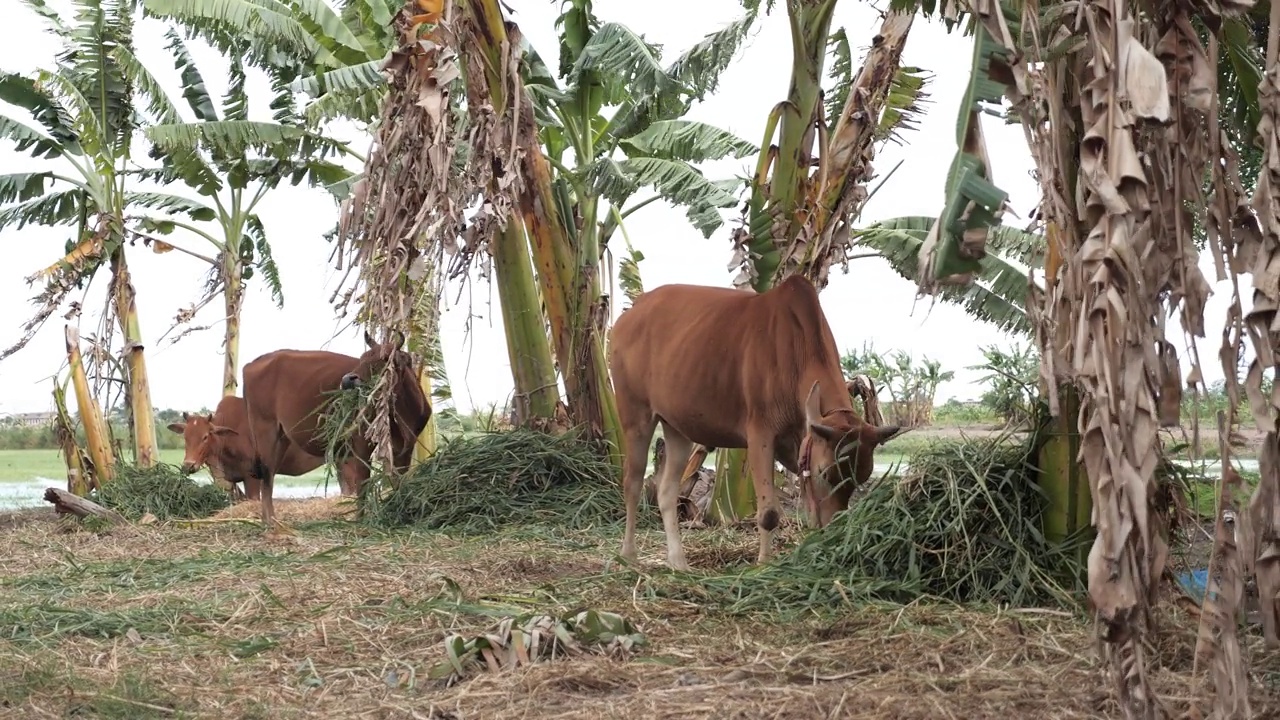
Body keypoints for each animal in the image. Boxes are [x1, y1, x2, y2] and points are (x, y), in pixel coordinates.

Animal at [241, 330, 432, 527]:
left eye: (385, 358)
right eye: (362, 358)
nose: (348, 380)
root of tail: (253, 363)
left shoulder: (405, 447)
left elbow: (399, 479)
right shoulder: (361, 443)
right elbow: (362, 482)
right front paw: (360, 520)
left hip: (282, 437)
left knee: (269, 474)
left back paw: (269, 520)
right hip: (265, 429)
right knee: (267, 474)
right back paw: (270, 521)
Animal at [606, 271, 901, 568]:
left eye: (861, 477)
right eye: (825, 473)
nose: (832, 527)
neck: (797, 350)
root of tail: (630, 314)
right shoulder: (761, 433)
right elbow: (769, 513)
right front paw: (763, 565)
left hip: (677, 427)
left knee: (667, 492)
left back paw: (679, 562)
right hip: (635, 414)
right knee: (632, 482)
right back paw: (629, 555)